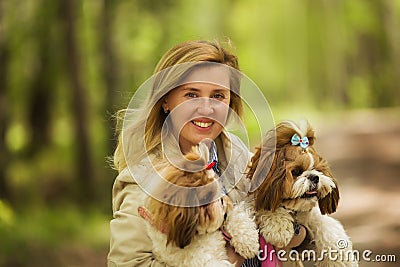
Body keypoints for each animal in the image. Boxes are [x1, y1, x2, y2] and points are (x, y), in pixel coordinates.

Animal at [248, 122, 358, 267]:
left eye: (317, 169)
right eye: (296, 171)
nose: (314, 177)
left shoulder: (311, 216)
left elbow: (326, 225)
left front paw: (340, 258)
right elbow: (268, 209)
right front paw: (277, 226)